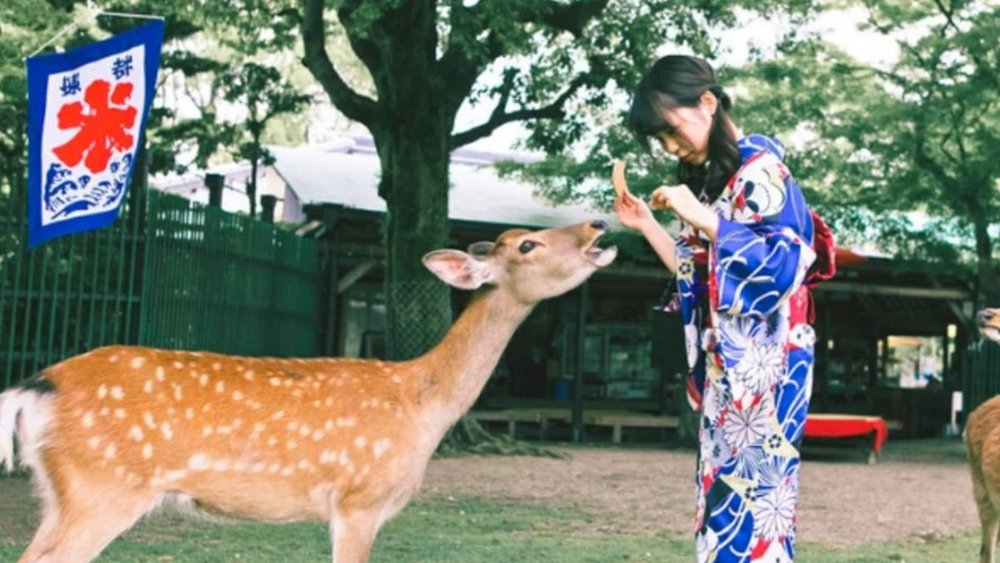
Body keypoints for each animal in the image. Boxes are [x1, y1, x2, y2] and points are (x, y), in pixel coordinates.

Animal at [0, 220, 617, 563]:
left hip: (60, 494)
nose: (597, 227)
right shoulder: (359, 500)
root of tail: (34, 388)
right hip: (102, 489)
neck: (421, 406)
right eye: (527, 245)